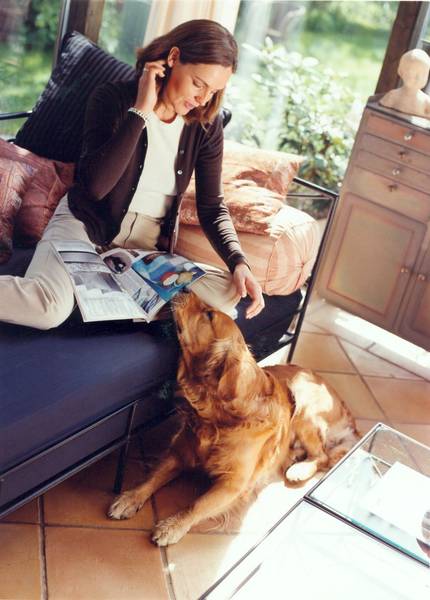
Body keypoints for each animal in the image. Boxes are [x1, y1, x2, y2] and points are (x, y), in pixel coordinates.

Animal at [108, 290, 360, 544]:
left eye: (209, 314)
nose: (184, 289)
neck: (218, 419)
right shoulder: (179, 452)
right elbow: (152, 477)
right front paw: (130, 498)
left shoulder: (233, 484)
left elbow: (196, 505)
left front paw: (172, 526)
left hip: (303, 404)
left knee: (323, 456)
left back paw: (299, 470)